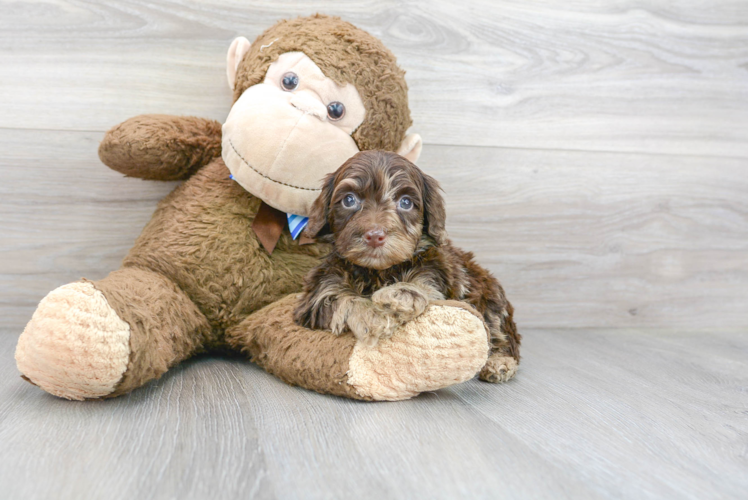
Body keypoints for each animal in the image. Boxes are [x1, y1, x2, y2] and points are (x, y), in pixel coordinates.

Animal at [292, 150, 520, 380]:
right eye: (349, 200)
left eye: (406, 203)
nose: (375, 236)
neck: (377, 272)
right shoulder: (320, 290)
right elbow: (342, 298)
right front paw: (374, 316)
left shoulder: (434, 276)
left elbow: (418, 286)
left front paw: (395, 297)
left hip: (490, 298)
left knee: (499, 333)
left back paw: (499, 362)